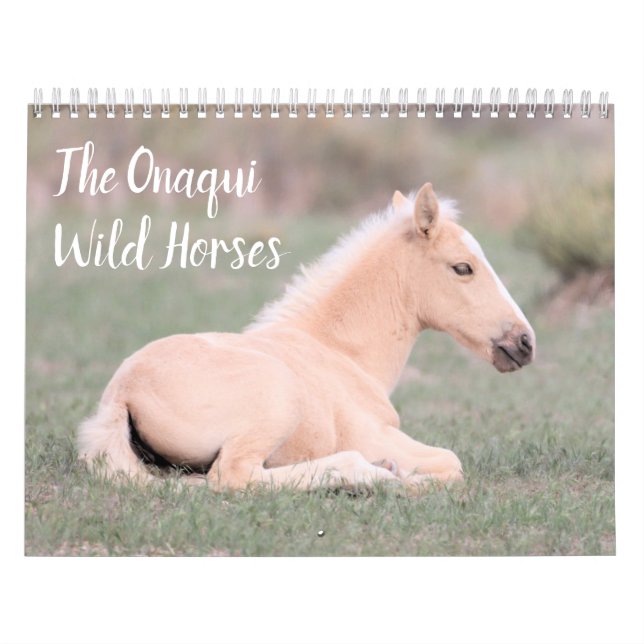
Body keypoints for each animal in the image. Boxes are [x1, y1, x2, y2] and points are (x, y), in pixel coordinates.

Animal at [78, 183, 535, 492]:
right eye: (463, 268)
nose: (525, 342)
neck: (340, 352)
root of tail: (121, 394)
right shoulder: (373, 433)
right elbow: (450, 462)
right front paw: (401, 473)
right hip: (277, 401)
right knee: (234, 476)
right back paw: (376, 476)